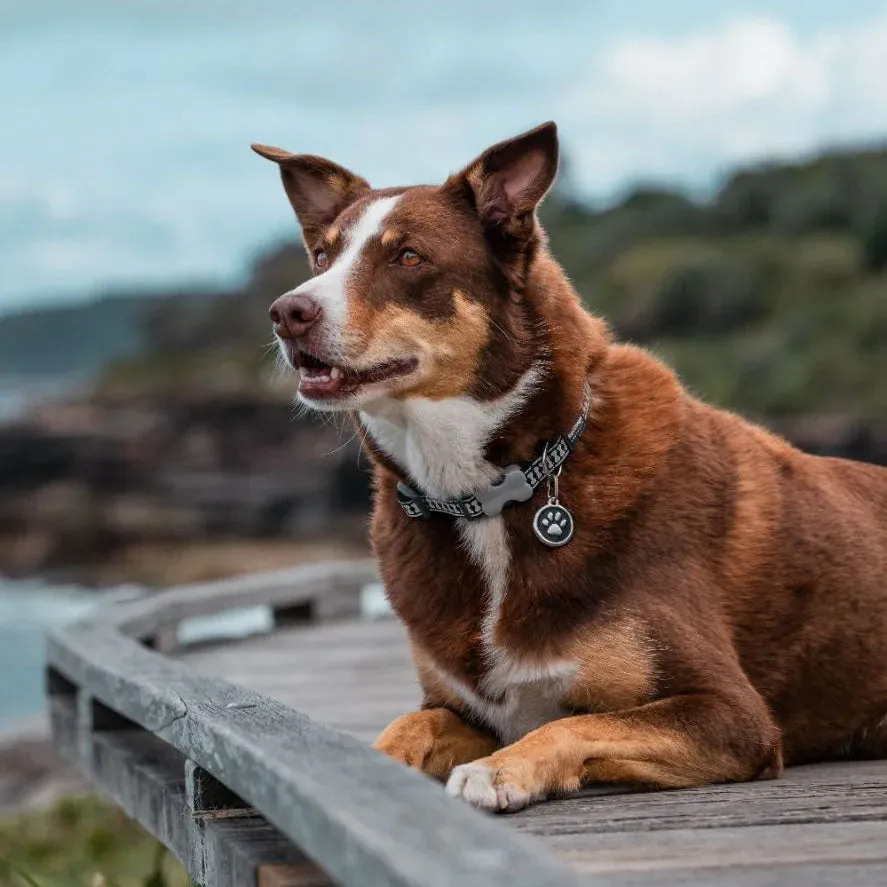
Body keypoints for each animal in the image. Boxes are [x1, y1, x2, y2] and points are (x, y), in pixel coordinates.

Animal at [253, 123, 887, 812]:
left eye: (410, 258)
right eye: (322, 258)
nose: (286, 313)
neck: (488, 495)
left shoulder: (731, 713)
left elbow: (573, 723)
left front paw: (499, 770)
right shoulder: (462, 709)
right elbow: (408, 724)